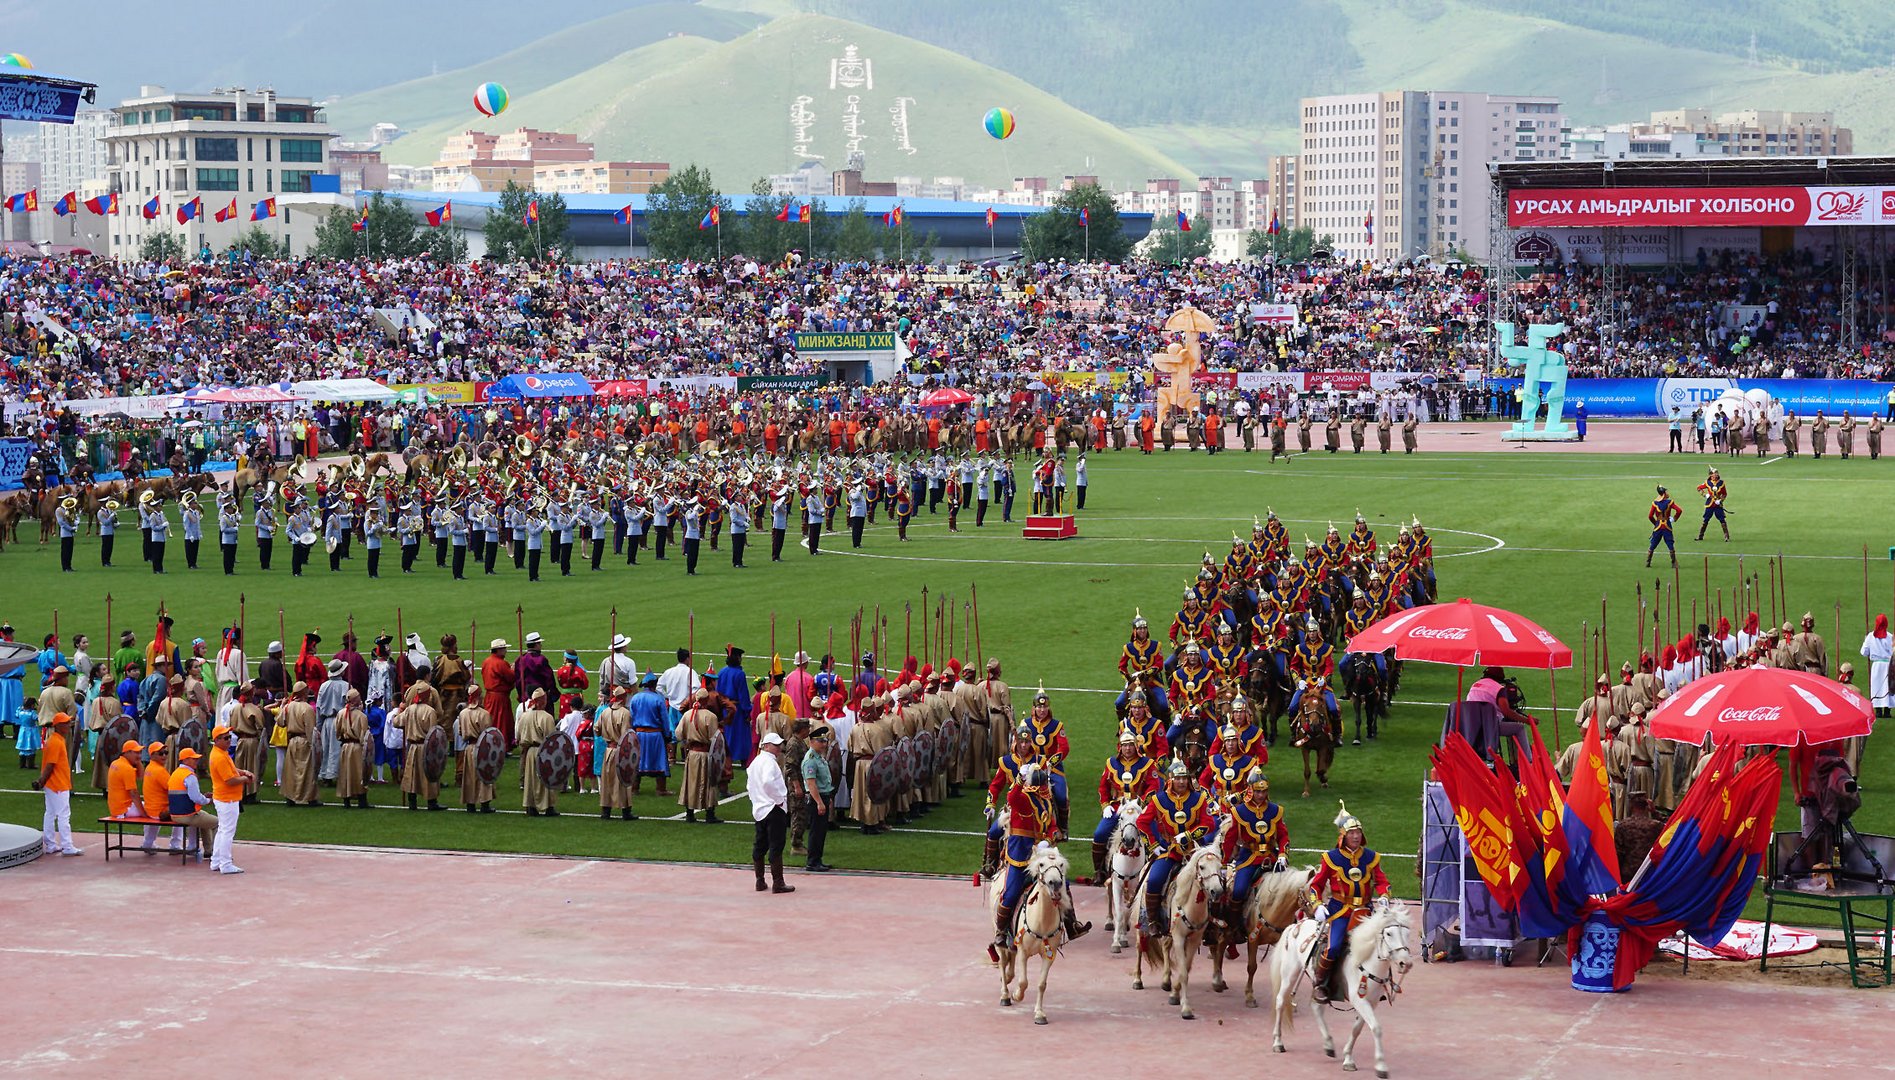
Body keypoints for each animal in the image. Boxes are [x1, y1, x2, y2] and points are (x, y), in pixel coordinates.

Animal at [985, 845, 1076, 1023]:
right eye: (1041, 864)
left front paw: (1039, 1013)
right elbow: (1023, 981)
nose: (1056, 883)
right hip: (997, 931)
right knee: (1002, 961)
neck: (1042, 919)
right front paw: (1016, 995)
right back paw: (1005, 994)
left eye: (1061, 864)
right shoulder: (1023, 951)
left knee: (1010, 959)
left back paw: (1008, 978)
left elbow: (1041, 984)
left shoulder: (1049, 954)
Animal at [1129, 841, 1220, 1015]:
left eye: (1220, 866)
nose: (1216, 891)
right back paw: (1137, 979)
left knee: (1165, 946)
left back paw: (1166, 980)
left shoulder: (1194, 939)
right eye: (1202, 866)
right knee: (1139, 947)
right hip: (1141, 924)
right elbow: (1183, 971)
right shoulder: (1179, 937)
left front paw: (1175, 992)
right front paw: (1185, 1008)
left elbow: (1187, 967)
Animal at [1281, 898, 1417, 1076]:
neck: (1367, 962)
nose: (1405, 963)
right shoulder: (1360, 1000)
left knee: (1316, 1007)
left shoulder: (1371, 1002)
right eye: (1389, 933)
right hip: (1289, 975)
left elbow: (1357, 1029)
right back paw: (1277, 1043)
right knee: (1280, 1003)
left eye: (1407, 933)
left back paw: (1329, 1045)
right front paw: (1381, 1065)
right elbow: (1376, 1028)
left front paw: (1348, 1059)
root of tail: (1297, 924)